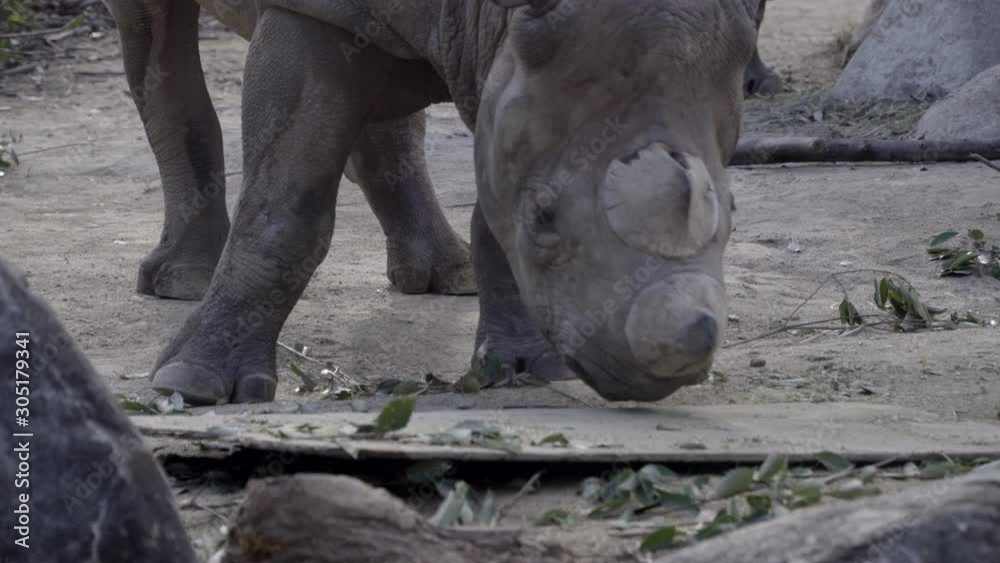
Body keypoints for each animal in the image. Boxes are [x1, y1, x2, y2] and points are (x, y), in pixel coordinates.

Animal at [106, 0, 763, 404]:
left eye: (732, 215)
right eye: (544, 219)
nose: (667, 367)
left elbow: (495, 197)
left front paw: (519, 372)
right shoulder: (314, 12)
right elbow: (283, 205)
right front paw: (191, 386)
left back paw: (448, 278)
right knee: (153, 37)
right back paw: (184, 283)